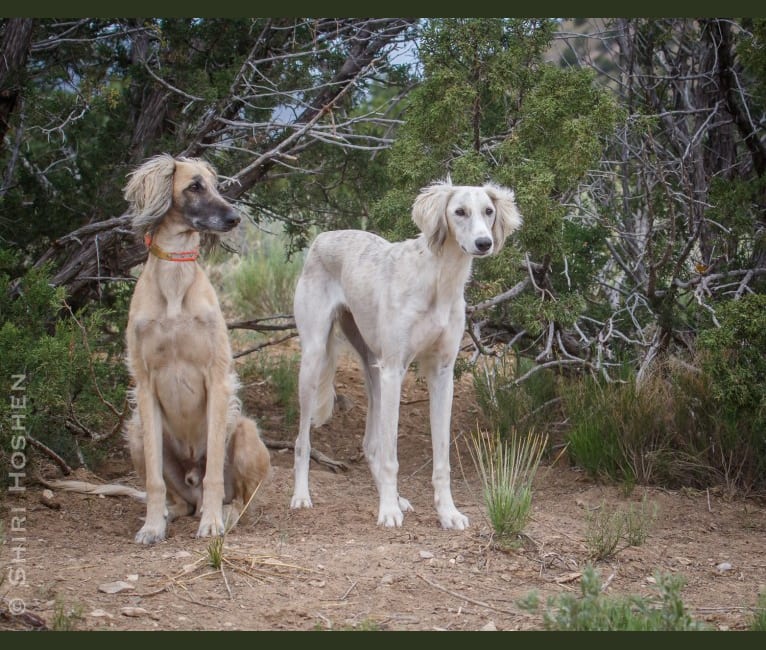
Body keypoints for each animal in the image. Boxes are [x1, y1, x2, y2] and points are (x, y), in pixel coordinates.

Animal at [48, 153, 270, 540]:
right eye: (195, 186)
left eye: (216, 185)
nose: (234, 218)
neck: (175, 286)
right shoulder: (145, 384)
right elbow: (154, 480)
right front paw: (151, 527)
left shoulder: (217, 379)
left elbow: (214, 475)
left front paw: (212, 524)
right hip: (136, 431)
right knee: (180, 500)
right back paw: (170, 514)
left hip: (243, 432)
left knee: (238, 498)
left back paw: (222, 514)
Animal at [292, 177, 524, 528]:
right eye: (459, 212)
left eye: (488, 211)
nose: (484, 243)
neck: (440, 281)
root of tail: (323, 236)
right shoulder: (395, 369)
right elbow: (392, 456)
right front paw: (388, 511)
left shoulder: (442, 374)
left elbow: (441, 459)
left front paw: (448, 513)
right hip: (316, 358)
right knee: (303, 440)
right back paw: (302, 496)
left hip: (372, 366)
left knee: (370, 444)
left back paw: (397, 499)